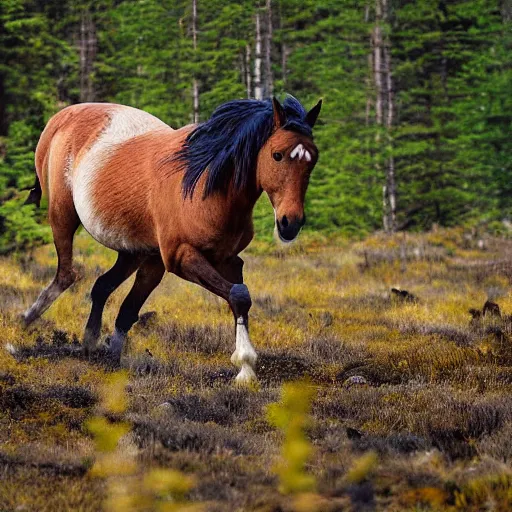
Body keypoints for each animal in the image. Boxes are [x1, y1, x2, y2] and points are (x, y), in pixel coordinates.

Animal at [24, 96, 322, 382]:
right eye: (277, 155)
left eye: (313, 158)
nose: (290, 223)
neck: (203, 187)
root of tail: (61, 116)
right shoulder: (180, 257)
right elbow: (238, 295)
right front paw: (245, 366)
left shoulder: (223, 260)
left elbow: (238, 296)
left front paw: (246, 368)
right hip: (63, 215)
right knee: (66, 275)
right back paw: (26, 322)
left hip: (135, 251)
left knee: (103, 288)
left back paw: (90, 345)